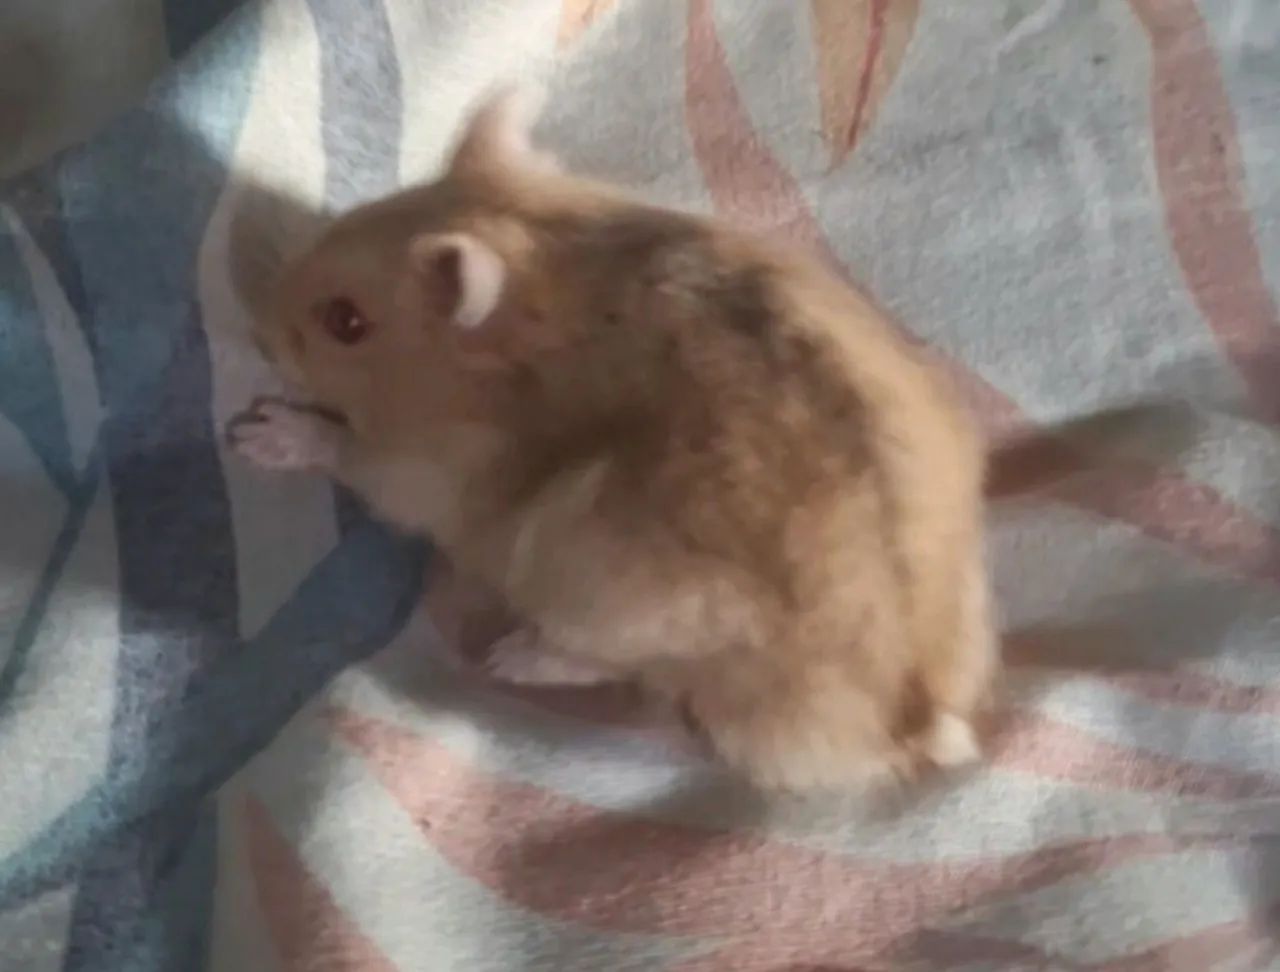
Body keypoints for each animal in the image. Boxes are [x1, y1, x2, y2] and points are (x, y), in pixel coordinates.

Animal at [228, 88, 997, 790]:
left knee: (614, 664)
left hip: (608, 592)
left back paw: (512, 657)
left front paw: (256, 434)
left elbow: (345, 450)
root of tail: (909, 711)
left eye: (346, 322)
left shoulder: (429, 472)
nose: (255, 333)